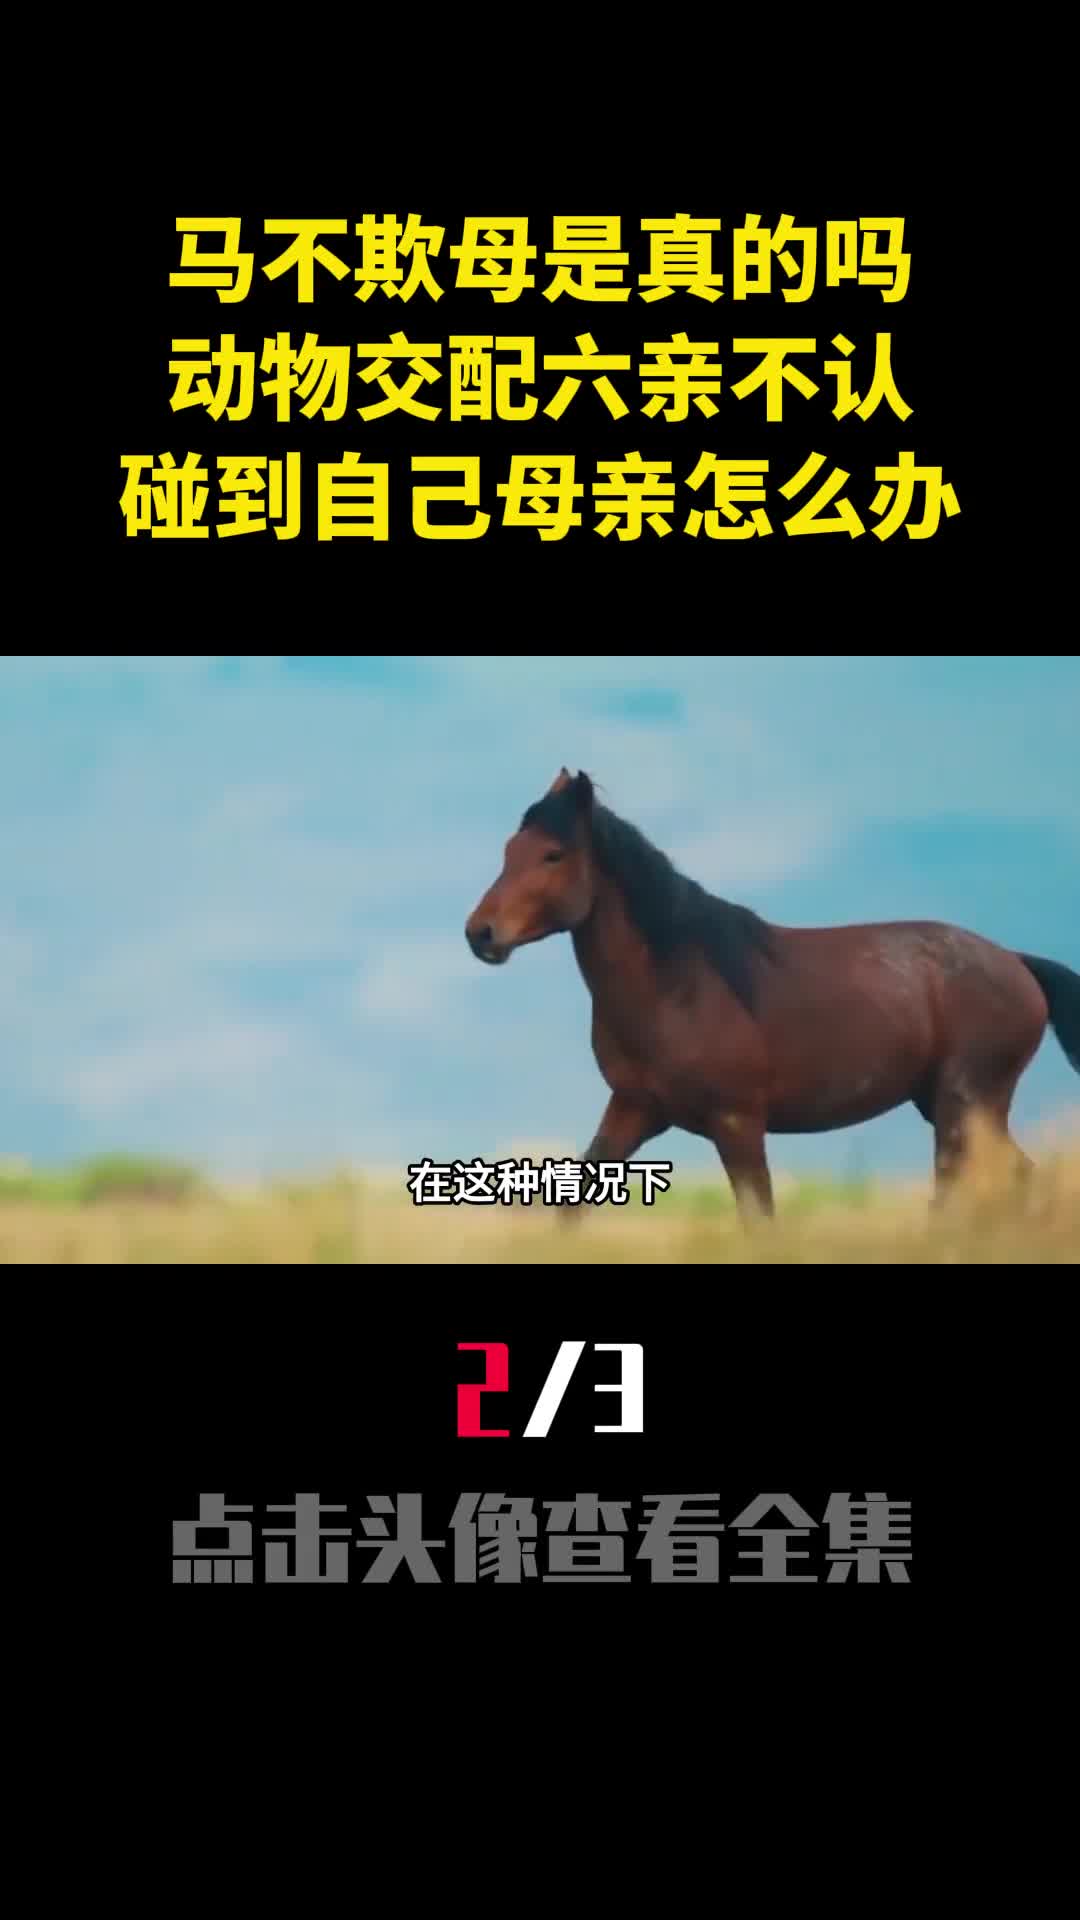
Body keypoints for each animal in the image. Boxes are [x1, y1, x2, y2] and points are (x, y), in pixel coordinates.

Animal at [464, 768, 1080, 1222]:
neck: (678, 986)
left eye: (552, 854)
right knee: (1018, 1179)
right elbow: (573, 1211)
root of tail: (1017, 963)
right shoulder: (634, 1108)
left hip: (963, 1104)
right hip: (951, 1107)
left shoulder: (738, 1123)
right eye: (509, 849)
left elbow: (759, 1220)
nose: (480, 934)